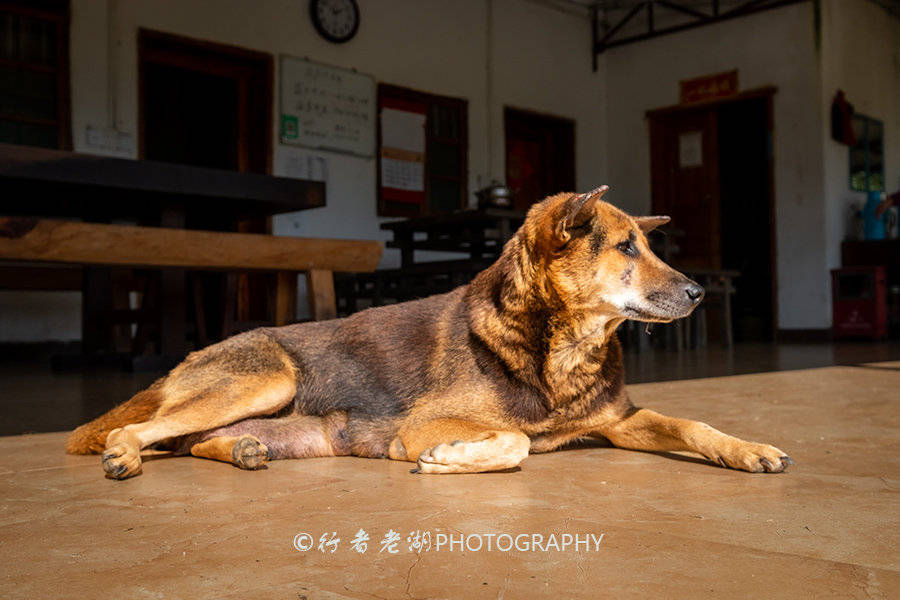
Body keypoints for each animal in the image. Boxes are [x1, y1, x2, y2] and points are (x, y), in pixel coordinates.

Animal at [67, 186, 792, 478]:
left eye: (650, 244)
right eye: (626, 248)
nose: (700, 292)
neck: (560, 349)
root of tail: (192, 354)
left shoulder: (619, 420)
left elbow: (695, 425)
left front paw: (750, 449)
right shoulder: (427, 423)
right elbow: (514, 442)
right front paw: (450, 460)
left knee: (188, 440)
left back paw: (242, 450)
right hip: (268, 377)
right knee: (138, 430)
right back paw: (125, 455)